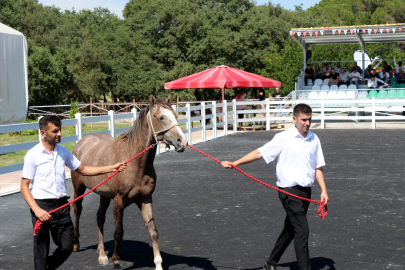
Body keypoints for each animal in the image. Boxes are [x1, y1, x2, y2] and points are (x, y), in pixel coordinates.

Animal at [70, 94, 187, 268]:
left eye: (176, 115)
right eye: (161, 117)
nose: (182, 141)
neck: (134, 163)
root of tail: (81, 142)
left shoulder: (145, 199)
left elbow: (153, 231)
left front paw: (158, 263)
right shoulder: (119, 202)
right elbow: (118, 232)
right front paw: (116, 261)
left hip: (104, 195)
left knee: (99, 217)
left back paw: (102, 254)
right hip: (79, 188)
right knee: (77, 210)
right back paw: (76, 244)